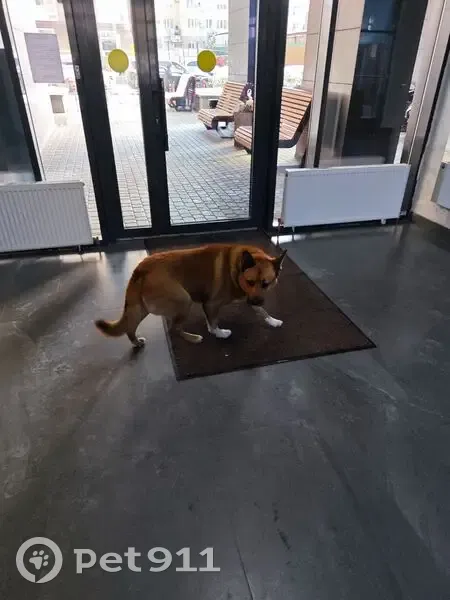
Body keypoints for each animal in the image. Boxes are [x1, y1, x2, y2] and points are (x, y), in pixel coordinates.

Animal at [95, 244, 287, 347]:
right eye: (250, 282)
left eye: (266, 283)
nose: (256, 301)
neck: (236, 268)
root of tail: (141, 268)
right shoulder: (211, 304)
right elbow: (214, 322)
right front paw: (219, 333)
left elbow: (262, 311)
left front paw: (272, 320)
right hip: (183, 300)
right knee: (174, 328)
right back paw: (193, 338)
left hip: (140, 308)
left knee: (130, 328)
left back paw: (136, 342)